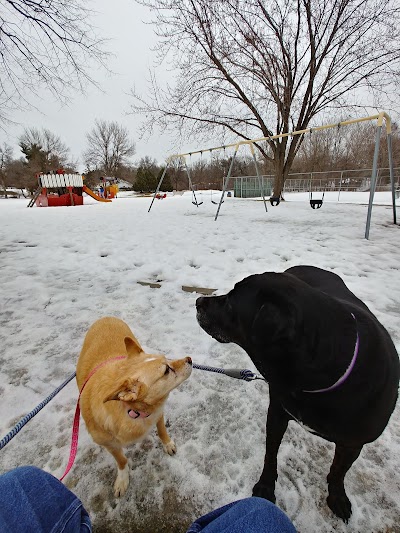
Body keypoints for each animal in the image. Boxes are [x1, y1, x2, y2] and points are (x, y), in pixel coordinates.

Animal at [77, 316, 194, 494]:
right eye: (166, 370)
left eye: (167, 358)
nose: (189, 359)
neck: (135, 411)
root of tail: (106, 317)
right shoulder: (108, 444)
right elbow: (121, 460)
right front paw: (122, 479)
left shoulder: (158, 412)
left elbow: (162, 430)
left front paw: (167, 444)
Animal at [195, 266, 398, 520]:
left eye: (231, 302)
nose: (198, 301)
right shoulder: (278, 410)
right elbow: (270, 453)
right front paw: (265, 486)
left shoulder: (353, 442)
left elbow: (339, 471)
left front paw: (337, 495)